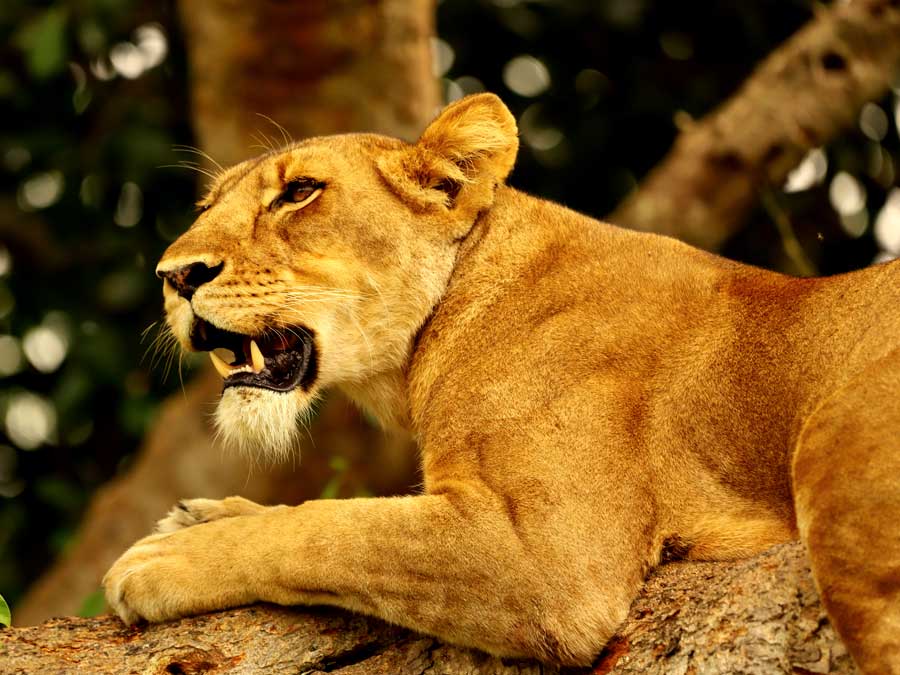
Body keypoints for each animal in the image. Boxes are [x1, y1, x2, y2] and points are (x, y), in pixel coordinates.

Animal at [103, 92, 900, 672]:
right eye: (206, 209)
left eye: (299, 192)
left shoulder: (547, 558)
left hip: (837, 449)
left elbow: (334, 527)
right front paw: (200, 516)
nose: (174, 276)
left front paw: (163, 559)